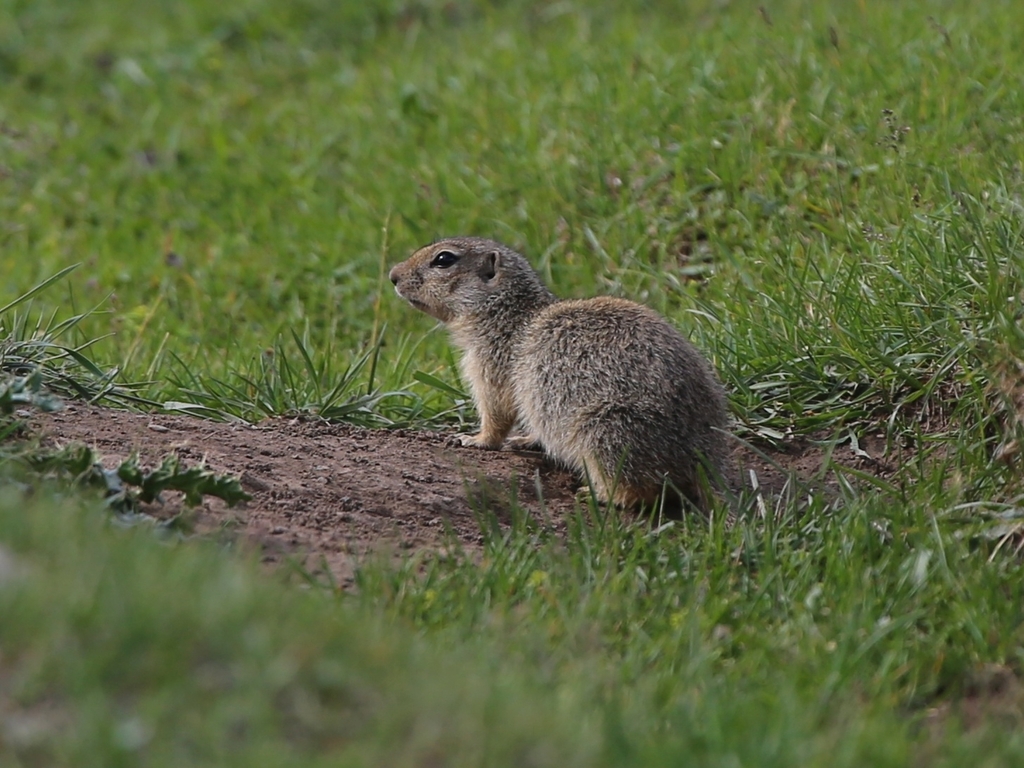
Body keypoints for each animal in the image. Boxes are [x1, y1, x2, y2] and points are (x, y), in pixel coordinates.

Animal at [389, 236, 730, 511]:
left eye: (444, 259)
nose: (392, 275)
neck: (507, 312)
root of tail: (704, 461)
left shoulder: (490, 361)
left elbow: (496, 408)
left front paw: (474, 439)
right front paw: (525, 439)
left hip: (605, 430)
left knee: (642, 492)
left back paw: (599, 495)